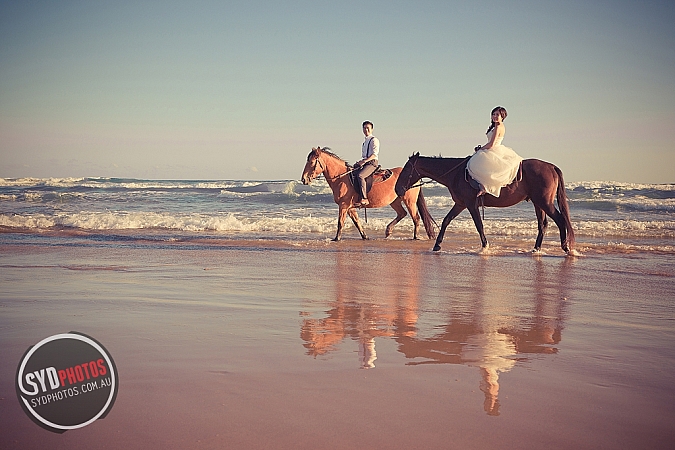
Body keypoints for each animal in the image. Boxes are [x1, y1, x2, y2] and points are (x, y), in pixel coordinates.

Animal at [301, 147, 437, 241]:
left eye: (312, 162)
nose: (303, 179)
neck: (342, 178)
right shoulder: (349, 208)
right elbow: (357, 222)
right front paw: (364, 236)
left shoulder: (344, 206)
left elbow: (340, 223)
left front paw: (336, 239)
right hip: (395, 201)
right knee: (402, 213)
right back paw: (388, 231)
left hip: (409, 201)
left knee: (416, 217)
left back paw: (415, 237)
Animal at [395, 153, 576, 254]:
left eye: (406, 169)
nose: (397, 189)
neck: (456, 173)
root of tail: (551, 167)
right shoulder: (460, 204)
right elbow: (446, 221)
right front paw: (437, 245)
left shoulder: (470, 204)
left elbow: (479, 225)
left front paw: (485, 247)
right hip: (538, 203)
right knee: (543, 225)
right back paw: (537, 249)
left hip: (544, 202)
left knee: (560, 220)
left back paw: (566, 248)